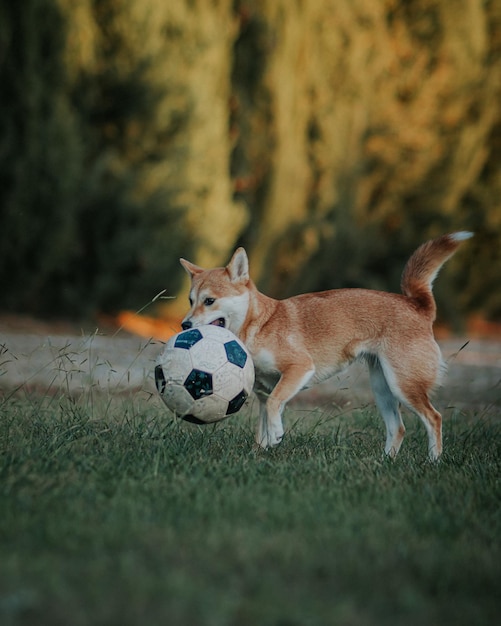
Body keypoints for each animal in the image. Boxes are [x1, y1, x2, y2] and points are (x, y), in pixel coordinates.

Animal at [180, 229, 472, 458]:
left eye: (209, 301)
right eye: (190, 301)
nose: (184, 325)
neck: (260, 324)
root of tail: (416, 305)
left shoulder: (298, 368)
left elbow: (275, 405)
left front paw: (277, 435)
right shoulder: (263, 393)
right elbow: (262, 427)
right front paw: (260, 452)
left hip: (404, 385)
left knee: (434, 418)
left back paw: (433, 461)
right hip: (383, 387)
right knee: (397, 428)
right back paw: (385, 462)